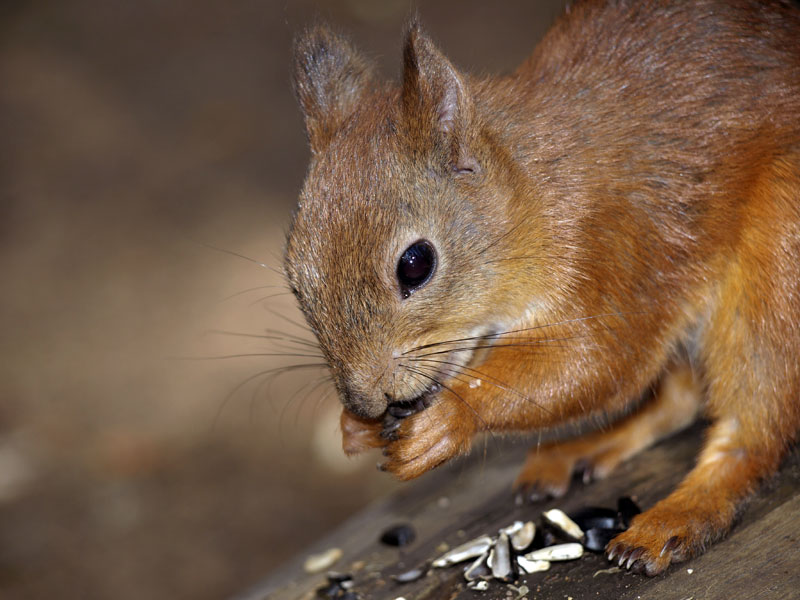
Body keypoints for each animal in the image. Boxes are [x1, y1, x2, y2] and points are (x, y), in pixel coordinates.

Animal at [284, 0, 796, 576]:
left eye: (415, 264)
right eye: (296, 280)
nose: (366, 401)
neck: (534, 188)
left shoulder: (614, 250)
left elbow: (594, 359)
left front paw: (449, 421)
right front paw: (353, 430)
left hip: (777, 250)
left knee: (752, 424)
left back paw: (682, 513)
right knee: (681, 399)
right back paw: (583, 448)